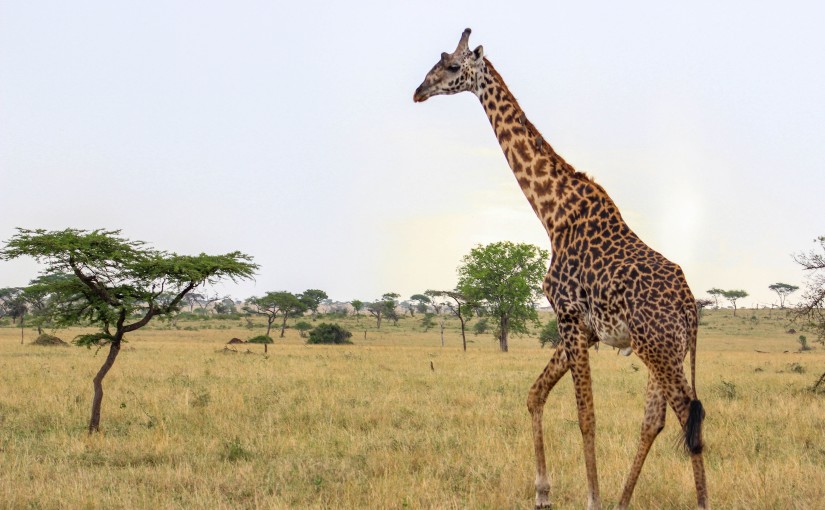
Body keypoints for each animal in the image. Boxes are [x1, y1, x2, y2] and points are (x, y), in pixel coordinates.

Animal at [412, 28, 708, 510]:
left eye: (452, 66)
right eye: (436, 61)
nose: (419, 91)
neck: (553, 213)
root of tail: (691, 309)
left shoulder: (568, 314)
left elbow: (586, 416)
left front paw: (591, 498)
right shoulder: (584, 329)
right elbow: (535, 394)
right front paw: (542, 492)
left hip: (659, 348)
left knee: (687, 415)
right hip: (664, 349)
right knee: (657, 420)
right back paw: (624, 500)